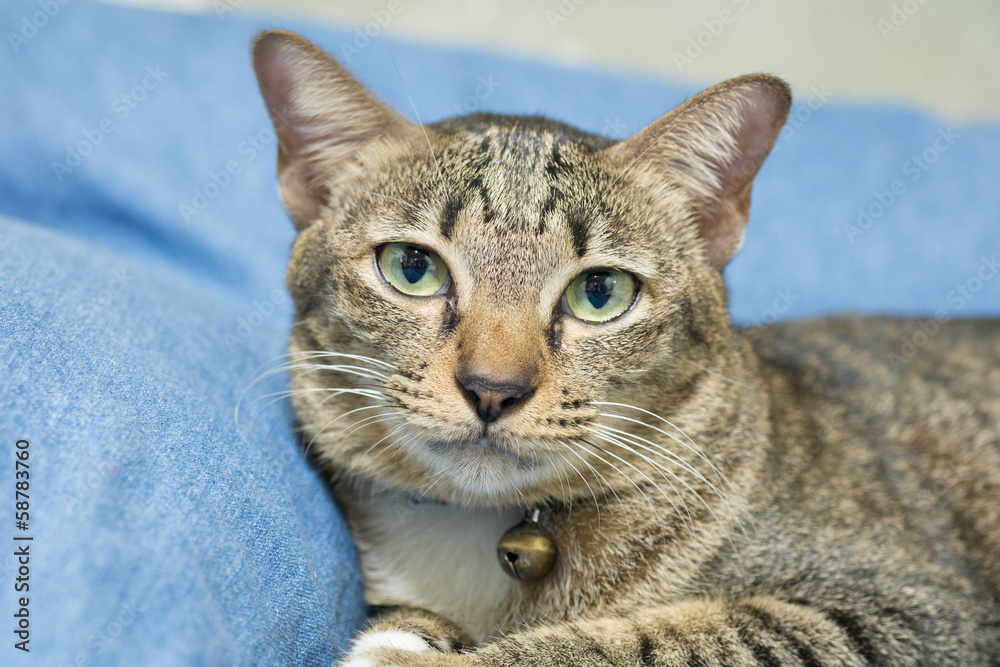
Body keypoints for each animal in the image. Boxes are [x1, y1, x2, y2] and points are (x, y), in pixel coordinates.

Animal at [250, 28, 1000, 664]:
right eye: (412, 267)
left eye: (600, 292)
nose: (493, 387)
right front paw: (413, 630)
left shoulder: (907, 610)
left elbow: (651, 641)